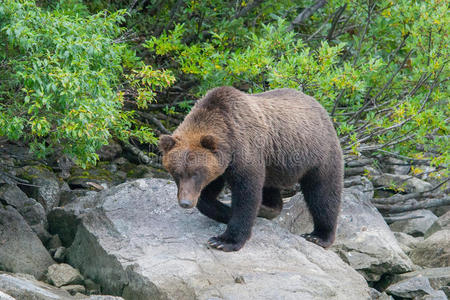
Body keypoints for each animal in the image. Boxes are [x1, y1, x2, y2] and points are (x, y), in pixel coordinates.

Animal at [160, 86, 342, 251]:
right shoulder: (221, 166)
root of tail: (320, 107)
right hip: (274, 165)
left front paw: (224, 240)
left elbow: (246, 194)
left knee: (323, 193)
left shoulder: (246, 151)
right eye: (176, 173)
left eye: (196, 173)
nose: (185, 203)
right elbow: (206, 196)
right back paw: (268, 208)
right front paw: (225, 212)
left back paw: (319, 235)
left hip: (319, 155)